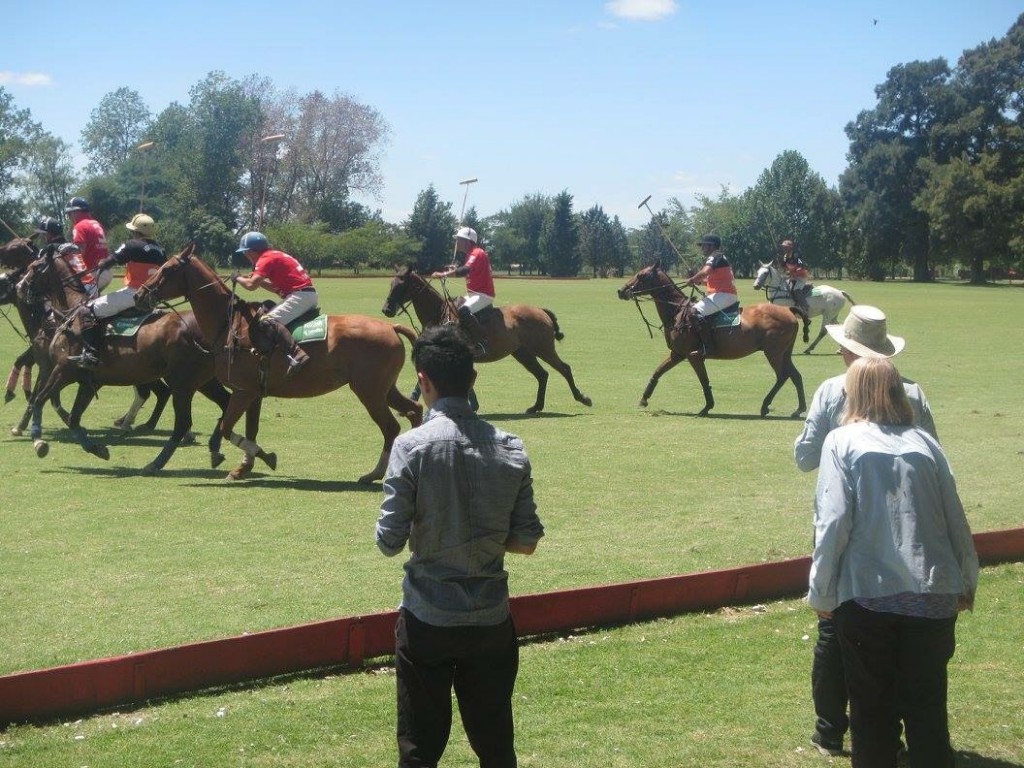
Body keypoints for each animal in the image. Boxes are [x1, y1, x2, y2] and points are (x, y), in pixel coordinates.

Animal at [18, 243, 230, 473]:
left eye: (34, 267)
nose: (20, 287)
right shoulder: (88, 382)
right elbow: (72, 417)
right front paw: (98, 449)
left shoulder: (63, 371)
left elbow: (39, 400)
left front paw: (39, 442)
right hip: (203, 380)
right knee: (225, 402)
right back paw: (214, 450)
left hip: (183, 382)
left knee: (183, 422)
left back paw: (155, 462)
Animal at [134, 246, 421, 483]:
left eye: (167, 269)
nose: (138, 295)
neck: (229, 325)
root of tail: (392, 327)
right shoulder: (254, 393)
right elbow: (250, 429)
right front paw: (243, 468)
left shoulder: (243, 391)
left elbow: (228, 428)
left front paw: (264, 457)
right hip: (384, 388)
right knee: (414, 410)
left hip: (368, 390)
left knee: (391, 427)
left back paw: (374, 474)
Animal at [382, 268, 593, 417]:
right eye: (391, 284)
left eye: (400, 286)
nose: (386, 310)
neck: (438, 313)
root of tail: (541, 310)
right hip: (522, 352)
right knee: (542, 374)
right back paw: (535, 407)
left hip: (543, 348)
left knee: (564, 368)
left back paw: (582, 398)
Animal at [614, 264, 806, 421]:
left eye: (640, 276)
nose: (621, 291)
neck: (676, 311)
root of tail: (789, 311)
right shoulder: (677, 354)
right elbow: (658, 371)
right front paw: (644, 399)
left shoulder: (693, 356)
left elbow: (703, 380)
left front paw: (706, 407)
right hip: (784, 352)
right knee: (795, 375)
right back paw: (798, 409)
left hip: (773, 352)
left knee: (782, 376)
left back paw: (765, 405)